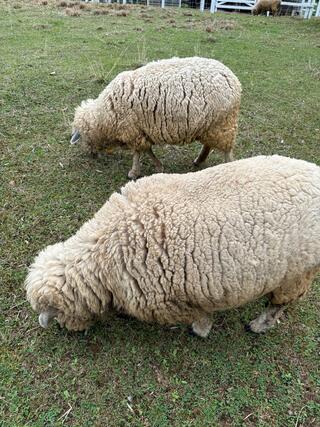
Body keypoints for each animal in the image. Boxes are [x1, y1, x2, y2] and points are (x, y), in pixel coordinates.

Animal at [25, 155, 320, 340]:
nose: (67, 331)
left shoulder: (175, 299)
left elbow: (201, 315)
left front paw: (200, 330)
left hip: (298, 271)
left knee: (281, 304)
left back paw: (259, 325)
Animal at [70, 56, 240, 179]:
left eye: (83, 137)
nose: (92, 155)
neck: (105, 113)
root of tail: (232, 77)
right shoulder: (142, 132)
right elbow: (148, 150)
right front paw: (159, 166)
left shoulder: (133, 131)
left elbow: (138, 153)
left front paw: (134, 172)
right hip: (210, 125)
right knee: (208, 145)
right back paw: (199, 161)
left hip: (223, 123)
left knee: (226, 150)